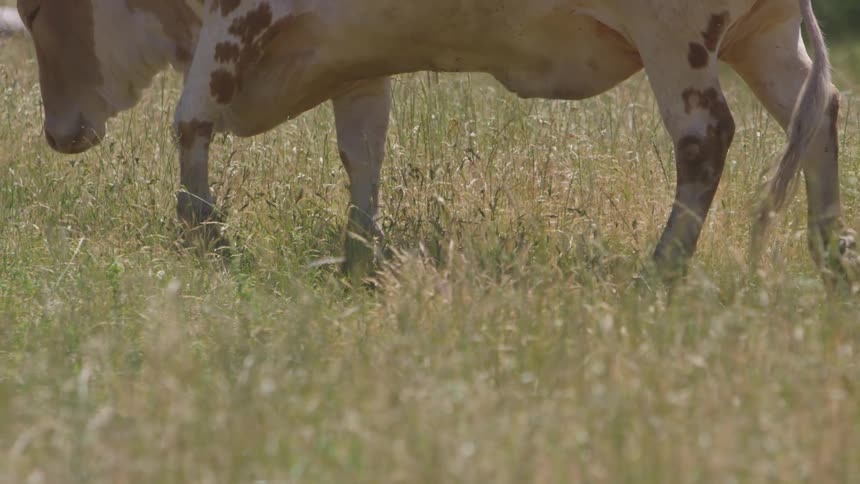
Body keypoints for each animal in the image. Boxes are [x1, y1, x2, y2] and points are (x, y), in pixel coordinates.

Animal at [16, 0, 856, 282]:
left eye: (31, 12)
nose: (58, 133)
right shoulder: (354, 59)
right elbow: (362, 150)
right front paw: (360, 250)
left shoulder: (233, 22)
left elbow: (190, 118)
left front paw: (203, 228)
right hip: (764, 41)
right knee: (820, 112)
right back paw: (829, 252)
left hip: (677, 40)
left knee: (706, 137)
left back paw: (663, 269)